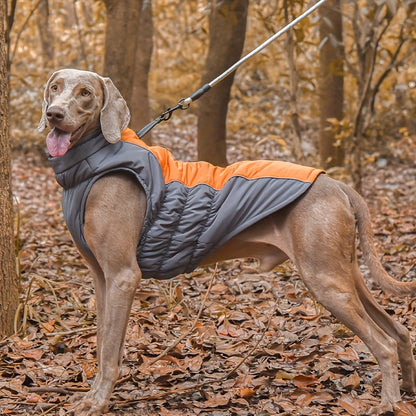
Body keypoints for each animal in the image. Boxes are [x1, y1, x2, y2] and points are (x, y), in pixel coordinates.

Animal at [39, 68, 416, 412]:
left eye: (86, 93)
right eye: (55, 87)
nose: (53, 113)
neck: (95, 162)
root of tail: (337, 183)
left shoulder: (122, 275)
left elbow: (110, 351)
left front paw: (97, 403)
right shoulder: (102, 278)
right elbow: (104, 341)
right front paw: (93, 395)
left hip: (325, 278)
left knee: (383, 343)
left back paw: (388, 403)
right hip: (344, 272)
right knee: (398, 331)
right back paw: (407, 390)